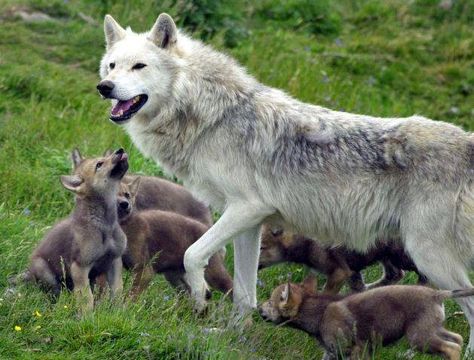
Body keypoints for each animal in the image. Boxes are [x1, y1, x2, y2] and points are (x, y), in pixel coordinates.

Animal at [96, 14, 474, 352]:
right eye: (112, 66)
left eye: (139, 66)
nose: (104, 87)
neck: (212, 117)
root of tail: (468, 144)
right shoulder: (249, 221)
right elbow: (244, 293)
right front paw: (234, 337)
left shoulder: (246, 209)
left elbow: (192, 255)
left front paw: (201, 299)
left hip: (429, 256)